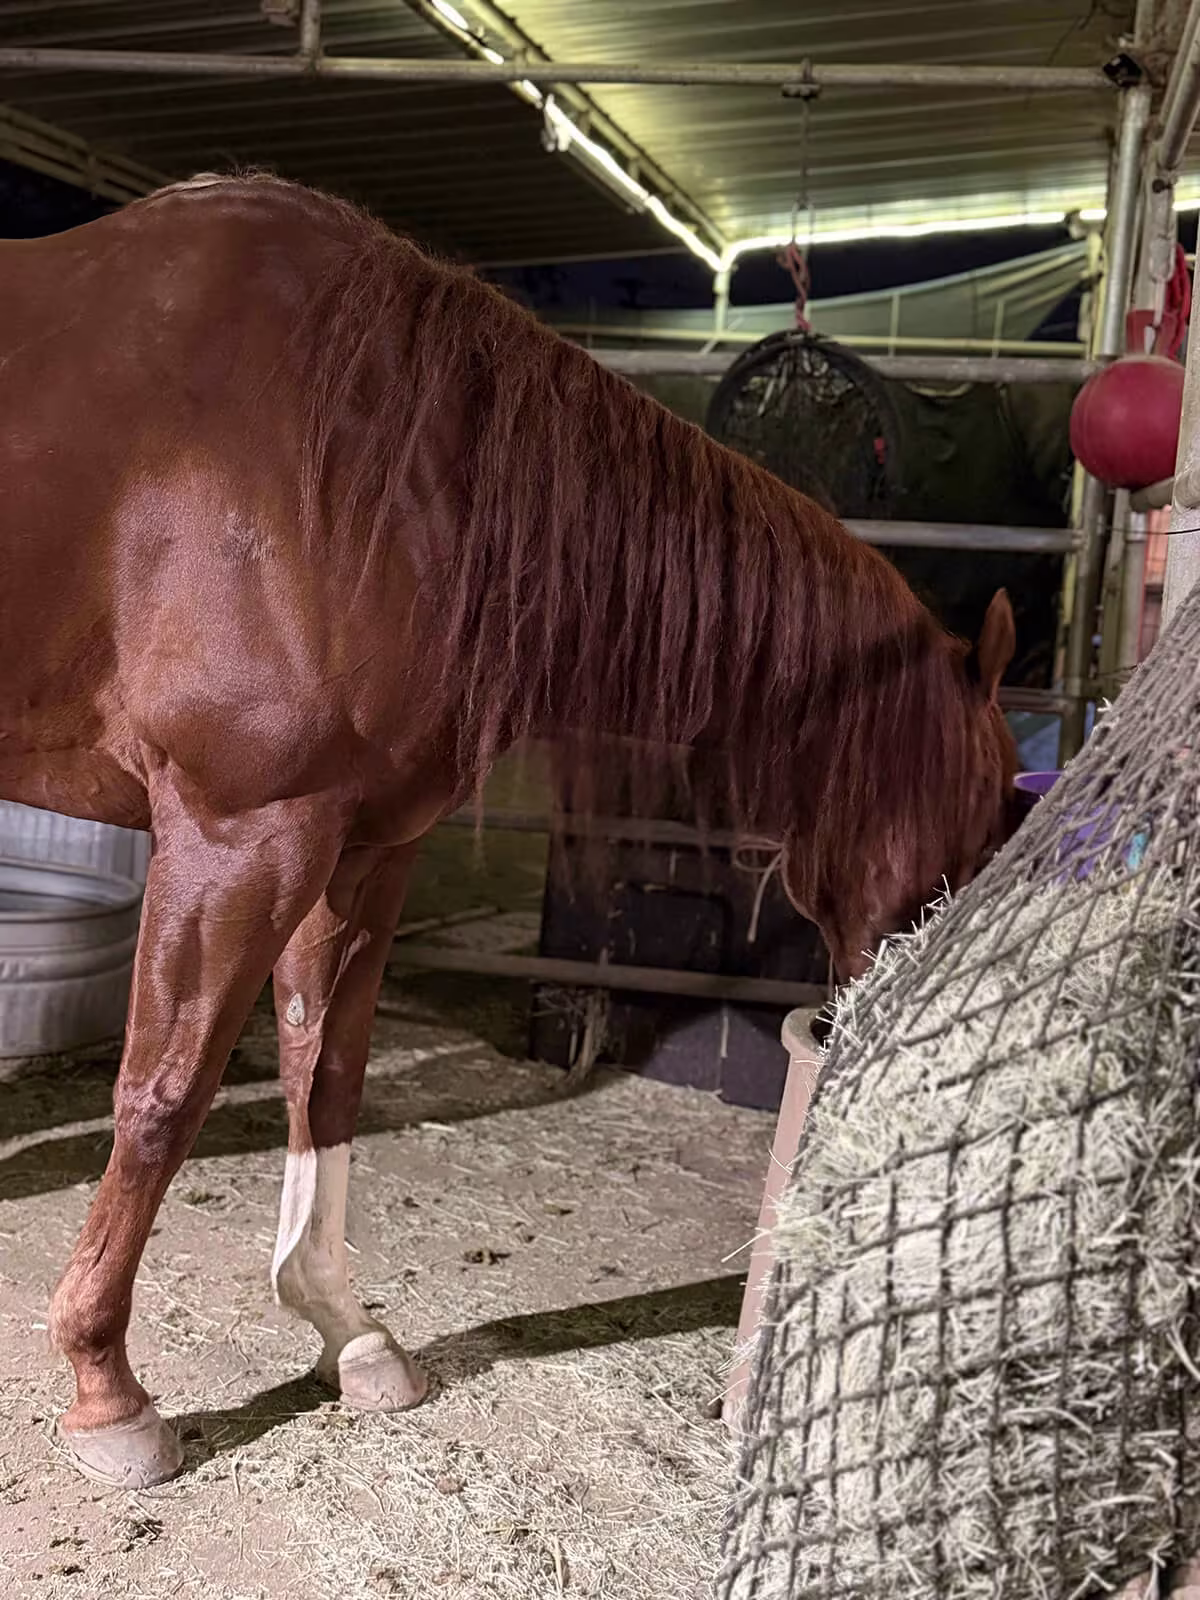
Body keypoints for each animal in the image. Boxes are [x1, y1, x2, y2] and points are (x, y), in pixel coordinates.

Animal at [0, 174, 1016, 1488]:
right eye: (986, 813)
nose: (888, 1017)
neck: (373, 466)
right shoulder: (239, 836)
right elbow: (162, 1097)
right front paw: (107, 1386)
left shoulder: (361, 846)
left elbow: (328, 1074)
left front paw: (345, 1329)